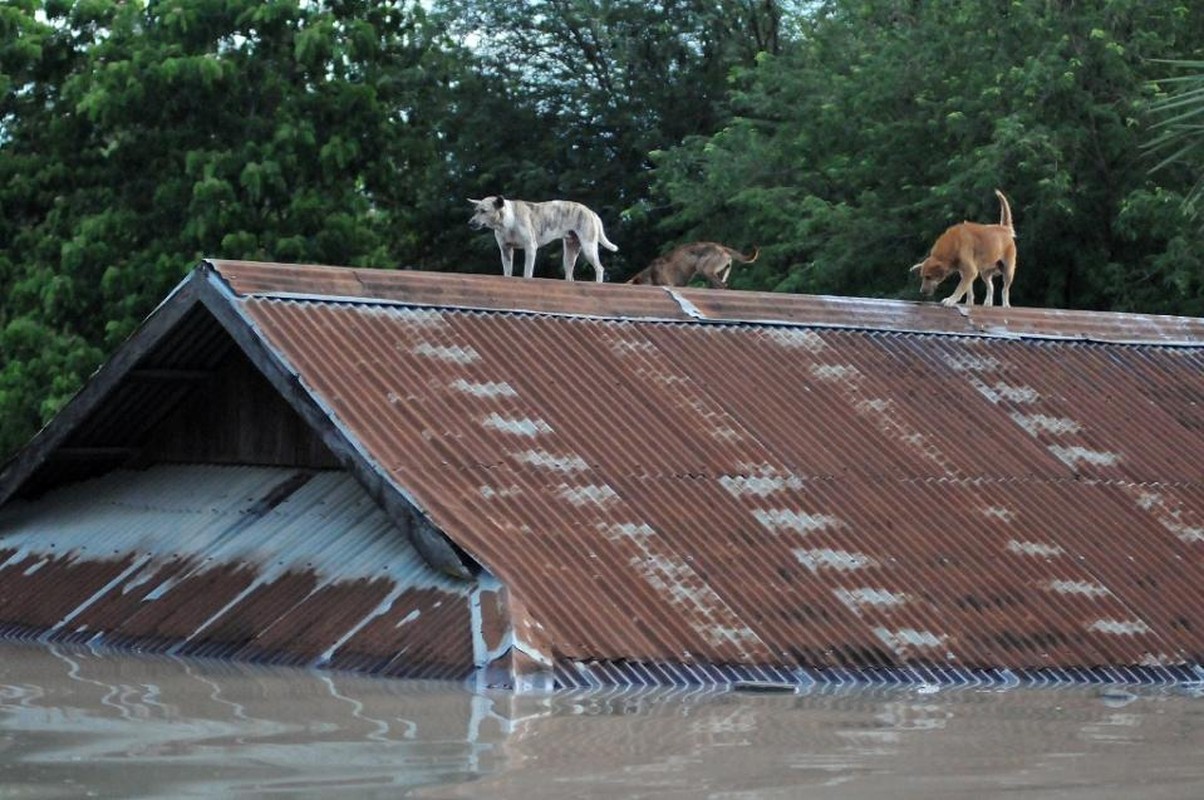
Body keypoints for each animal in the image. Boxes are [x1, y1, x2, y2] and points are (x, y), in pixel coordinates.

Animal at [469, 196, 621, 280]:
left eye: (484, 211)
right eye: (475, 211)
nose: (470, 223)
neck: (508, 220)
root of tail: (591, 212)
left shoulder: (530, 248)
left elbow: (527, 272)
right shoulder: (506, 250)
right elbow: (507, 272)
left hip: (589, 248)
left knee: (600, 269)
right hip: (570, 255)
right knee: (570, 276)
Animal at [626, 242, 756, 289]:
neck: (649, 275)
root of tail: (722, 247)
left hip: (704, 268)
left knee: (721, 285)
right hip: (720, 272)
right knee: (723, 284)